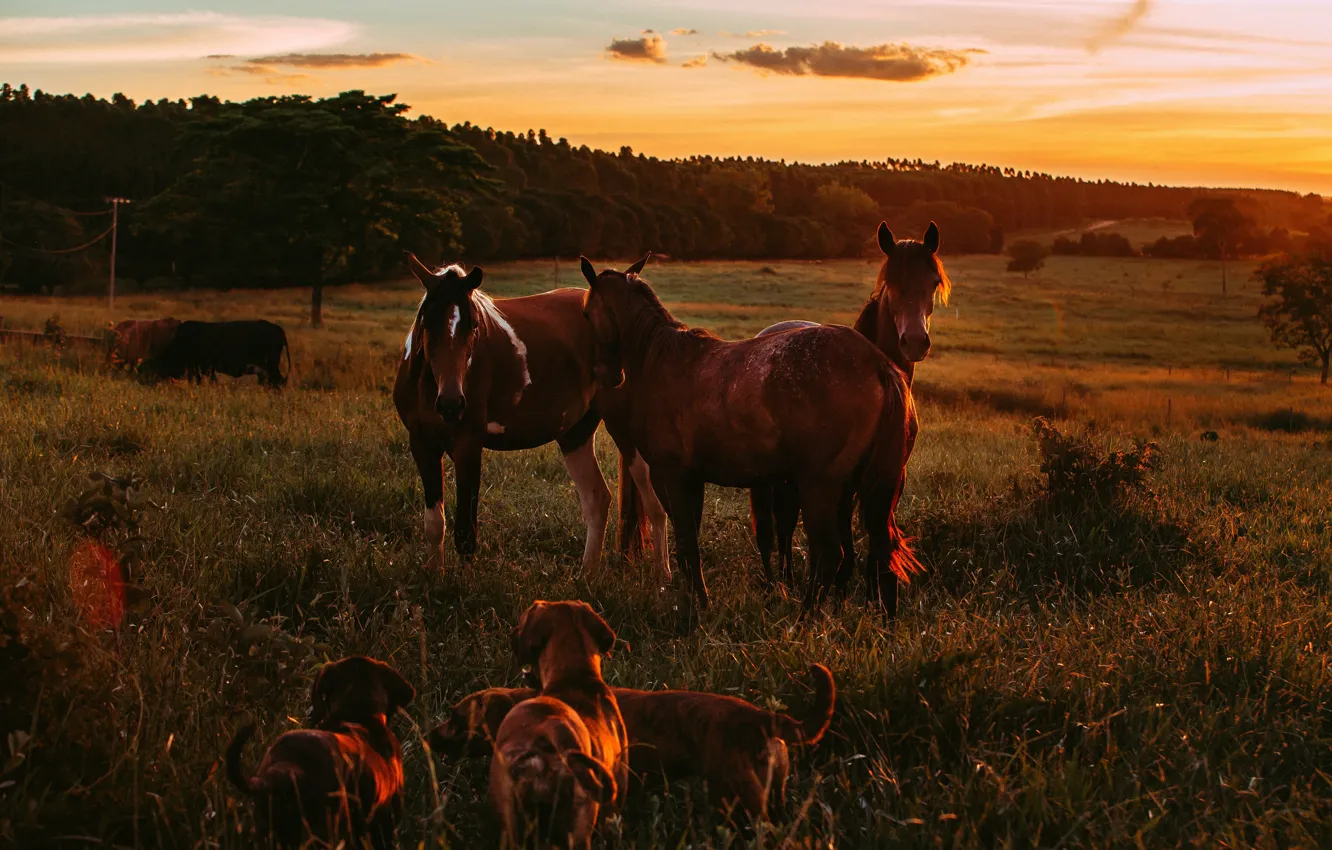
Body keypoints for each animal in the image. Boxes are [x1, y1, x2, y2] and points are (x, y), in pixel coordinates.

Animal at [393, 256, 614, 572]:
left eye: (473, 325)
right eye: (427, 322)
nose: (451, 404)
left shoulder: (468, 446)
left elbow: (465, 532)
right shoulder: (422, 444)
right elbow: (435, 525)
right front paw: (435, 576)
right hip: (576, 434)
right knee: (597, 500)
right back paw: (587, 575)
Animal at [580, 255, 920, 611]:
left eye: (587, 313)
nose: (607, 375)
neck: (662, 360)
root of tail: (878, 364)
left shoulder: (671, 475)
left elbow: (686, 545)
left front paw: (698, 605)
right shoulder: (692, 479)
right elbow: (690, 545)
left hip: (821, 488)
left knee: (830, 556)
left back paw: (804, 618)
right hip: (865, 490)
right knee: (879, 554)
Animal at [749, 222, 951, 612]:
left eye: (934, 281)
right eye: (891, 280)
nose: (915, 341)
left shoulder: (891, 480)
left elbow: (874, 549)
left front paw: (867, 600)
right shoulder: (841, 487)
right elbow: (845, 550)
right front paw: (839, 601)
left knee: (786, 523)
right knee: (773, 529)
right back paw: (778, 583)